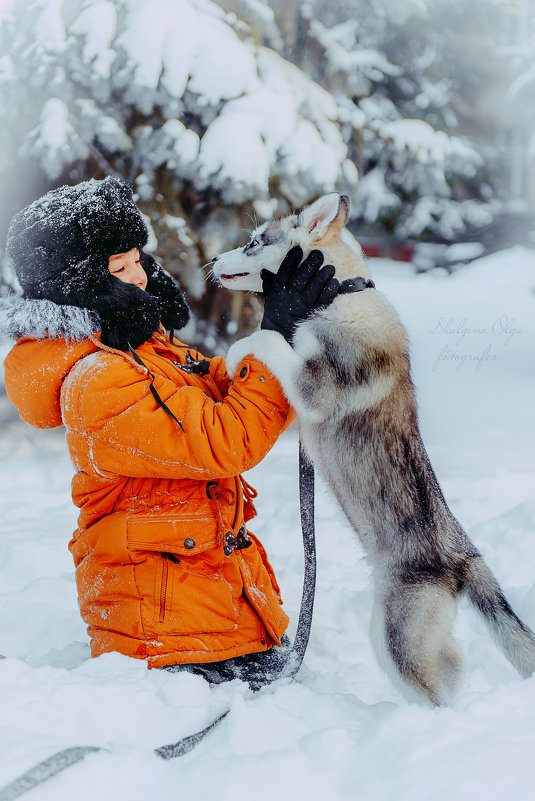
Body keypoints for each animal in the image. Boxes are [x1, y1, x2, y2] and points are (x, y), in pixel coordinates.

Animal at [211, 194, 535, 708]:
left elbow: (268, 338)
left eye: (254, 242)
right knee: (454, 663)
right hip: (408, 632)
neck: (340, 294)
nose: (213, 262)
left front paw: (236, 349)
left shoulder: (316, 389)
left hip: (394, 635)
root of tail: (463, 557)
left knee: (434, 693)